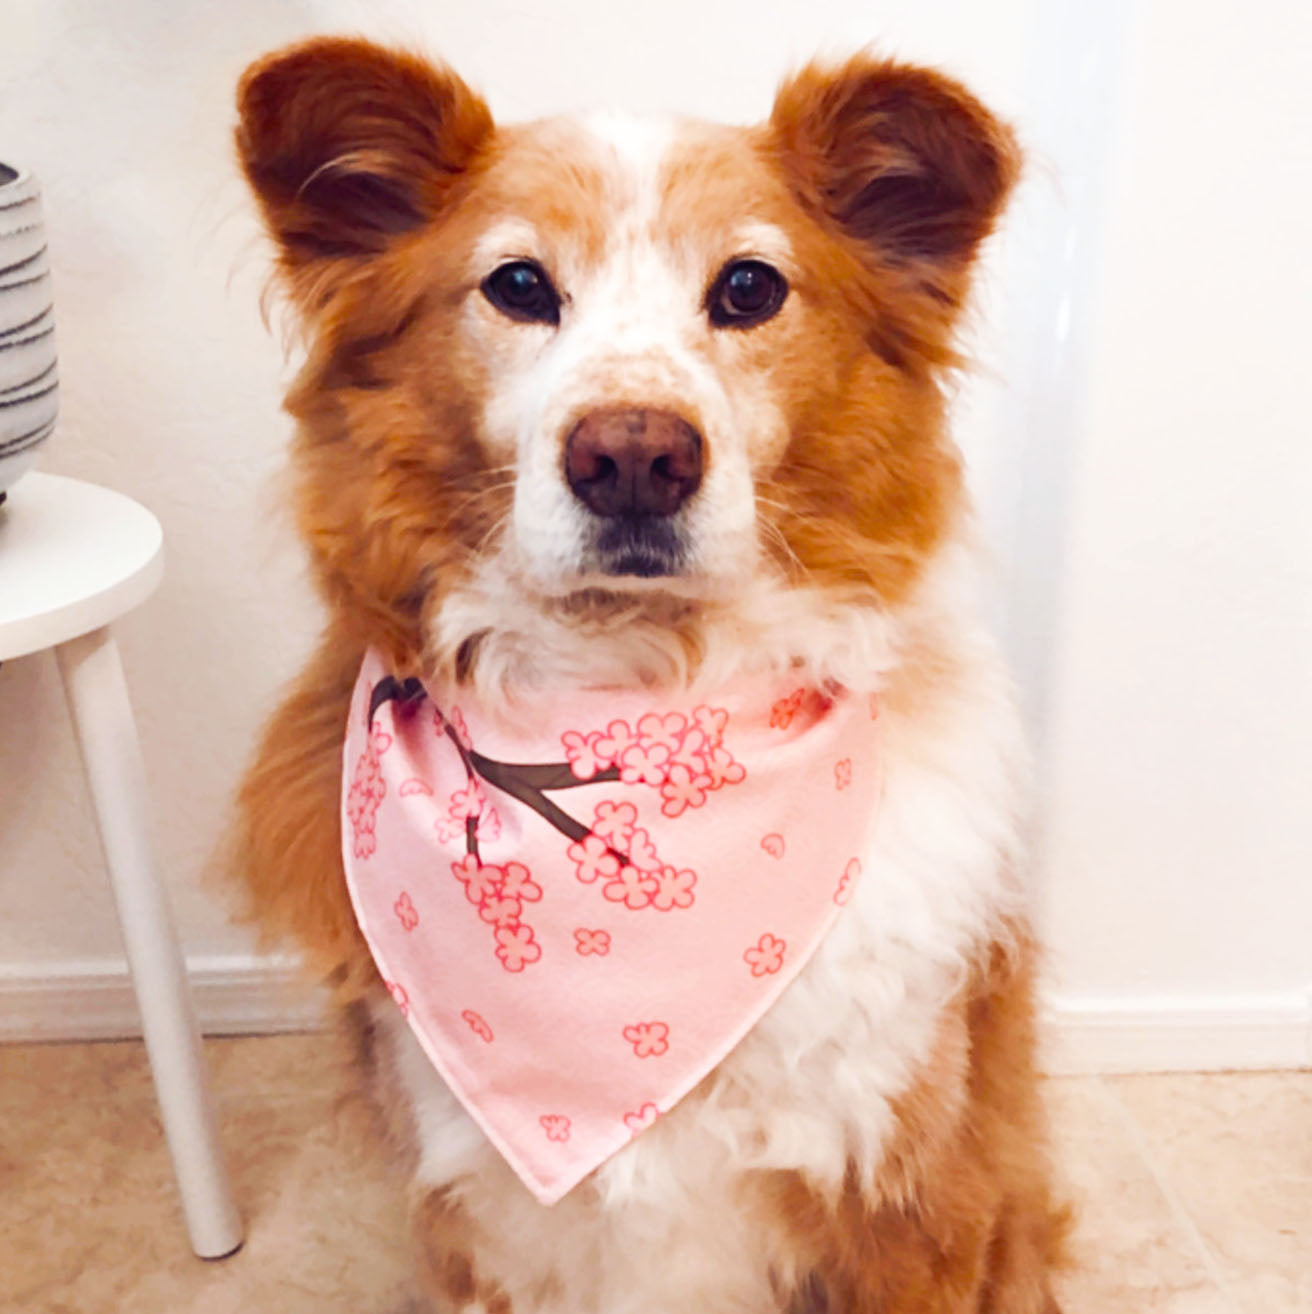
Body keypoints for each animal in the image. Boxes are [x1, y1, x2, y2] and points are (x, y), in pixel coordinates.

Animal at [226, 35, 1067, 1308]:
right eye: (519, 286)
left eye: (749, 290)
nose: (632, 457)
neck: (628, 695)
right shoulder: (471, 1225)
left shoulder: (914, 1205)